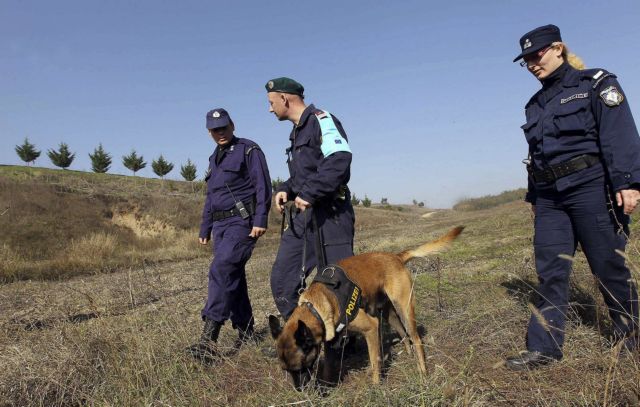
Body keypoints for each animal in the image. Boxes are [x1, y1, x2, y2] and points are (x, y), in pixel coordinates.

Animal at [268, 226, 462, 388]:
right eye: (286, 370)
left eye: (300, 366)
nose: (300, 390)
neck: (315, 306)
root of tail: (396, 257)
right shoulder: (331, 341)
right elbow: (329, 365)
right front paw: (327, 385)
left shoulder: (371, 327)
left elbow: (374, 359)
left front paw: (376, 386)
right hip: (389, 313)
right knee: (403, 334)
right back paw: (408, 353)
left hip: (404, 309)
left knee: (415, 338)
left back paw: (422, 371)